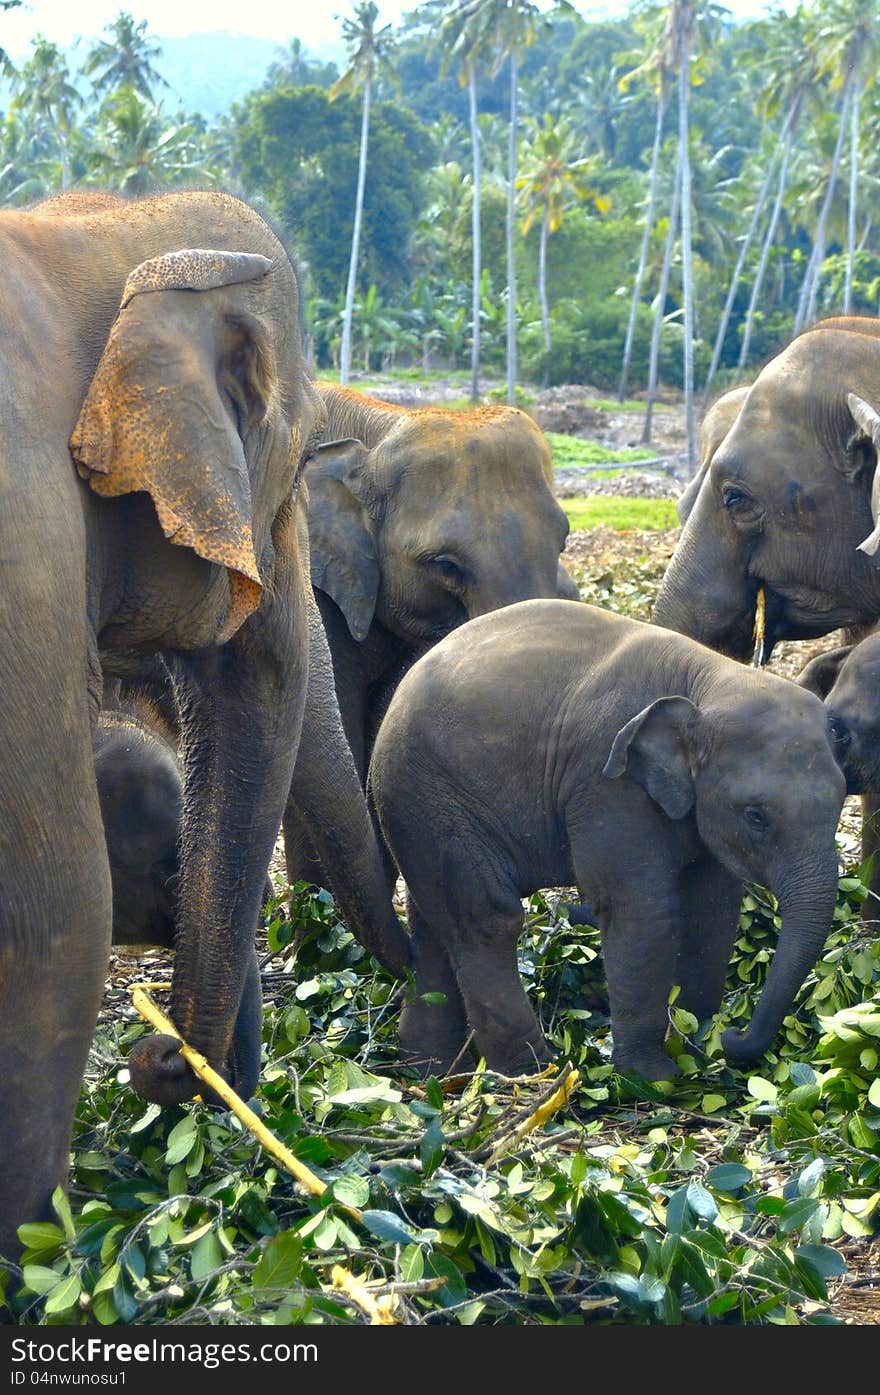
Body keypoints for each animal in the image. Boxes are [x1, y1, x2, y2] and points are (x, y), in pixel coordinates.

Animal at [365, 599, 847, 1076]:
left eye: (842, 797)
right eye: (756, 816)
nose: (734, 1034)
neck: (708, 679)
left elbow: (712, 909)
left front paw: (695, 1054)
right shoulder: (605, 782)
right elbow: (642, 912)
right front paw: (651, 1079)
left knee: (433, 920)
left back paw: (432, 1070)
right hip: (432, 797)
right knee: (484, 919)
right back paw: (532, 1073)